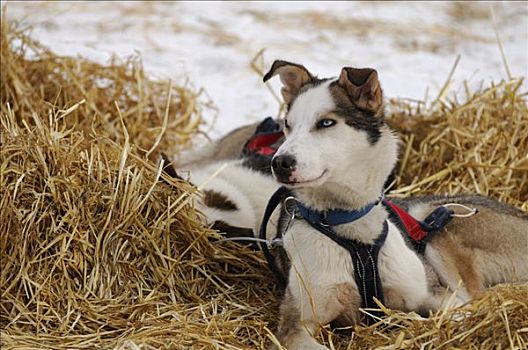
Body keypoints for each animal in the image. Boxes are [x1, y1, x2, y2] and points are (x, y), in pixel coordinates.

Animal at [173, 60, 528, 350]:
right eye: (288, 124)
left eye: (326, 123)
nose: (279, 163)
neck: (350, 229)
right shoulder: (297, 324)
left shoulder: (435, 296)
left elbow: (462, 312)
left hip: (437, 222)